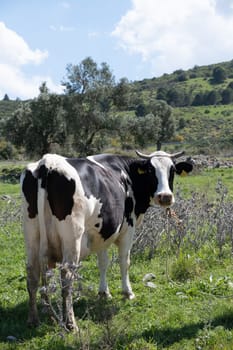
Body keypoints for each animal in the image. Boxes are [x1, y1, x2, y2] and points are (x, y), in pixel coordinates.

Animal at [20, 149, 193, 330]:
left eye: (172, 170)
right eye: (151, 171)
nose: (165, 197)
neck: (128, 173)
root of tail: (47, 162)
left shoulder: (103, 232)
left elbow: (103, 263)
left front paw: (104, 292)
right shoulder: (128, 229)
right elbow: (125, 262)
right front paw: (127, 292)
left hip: (31, 234)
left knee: (32, 273)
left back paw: (36, 318)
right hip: (72, 237)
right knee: (66, 276)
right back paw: (71, 323)